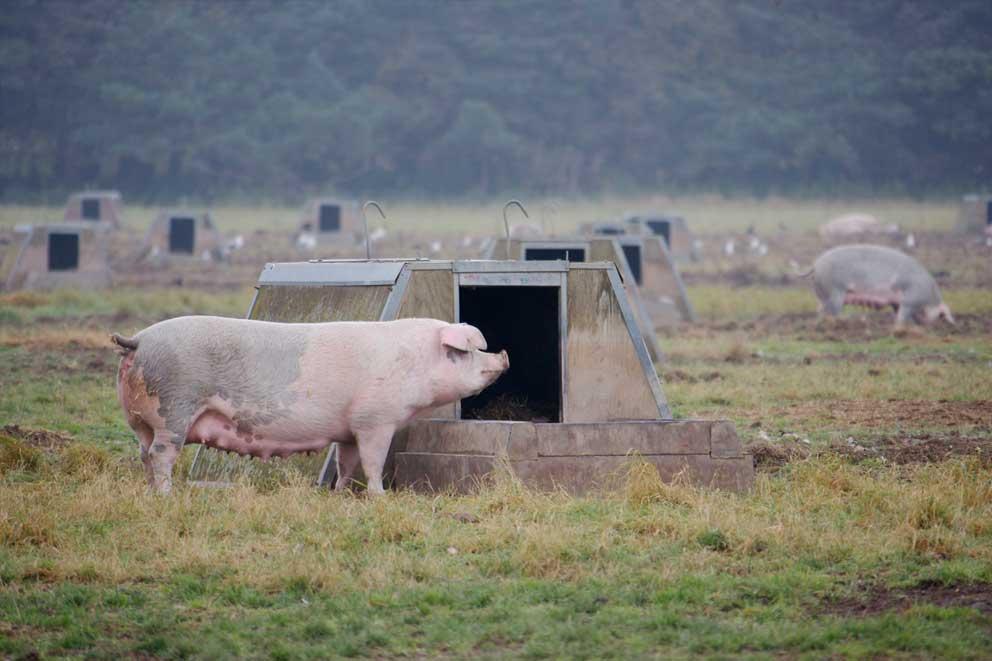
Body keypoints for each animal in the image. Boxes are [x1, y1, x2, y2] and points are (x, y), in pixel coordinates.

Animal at [112, 318, 508, 492]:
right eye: (469, 350)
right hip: (174, 409)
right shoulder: (375, 420)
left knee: (144, 454)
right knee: (162, 454)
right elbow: (373, 462)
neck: (414, 362)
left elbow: (346, 462)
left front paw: (341, 492)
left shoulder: (348, 428)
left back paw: (150, 492)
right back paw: (167, 495)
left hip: (141, 421)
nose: (504, 356)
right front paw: (380, 496)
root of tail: (136, 341)